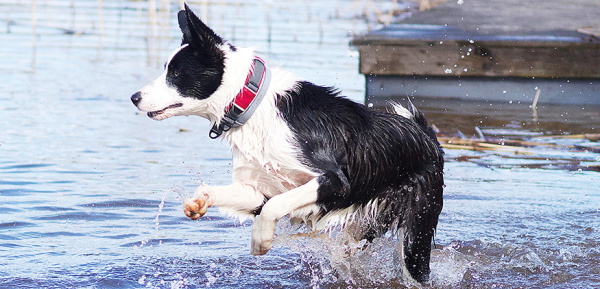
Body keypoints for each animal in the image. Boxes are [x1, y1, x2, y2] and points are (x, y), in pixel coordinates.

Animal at [131, 4, 440, 282]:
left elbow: (277, 205)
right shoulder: (260, 189)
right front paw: (197, 203)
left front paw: (260, 239)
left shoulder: (337, 180)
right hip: (364, 230)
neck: (252, 105)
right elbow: (220, 192)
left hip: (417, 235)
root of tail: (425, 133)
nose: (134, 97)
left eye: (176, 73)